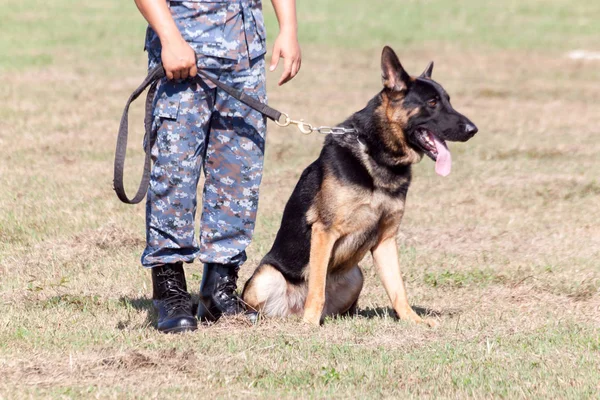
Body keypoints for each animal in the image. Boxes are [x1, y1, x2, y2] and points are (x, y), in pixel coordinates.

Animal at [240, 47, 478, 328]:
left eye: (448, 101)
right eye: (432, 103)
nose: (473, 130)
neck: (377, 154)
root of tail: (293, 310)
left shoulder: (386, 240)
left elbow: (398, 289)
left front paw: (413, 320)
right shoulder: (324, 232)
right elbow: (317, 288)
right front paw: (310, 325)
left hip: (356, 275)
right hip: (266, 276)